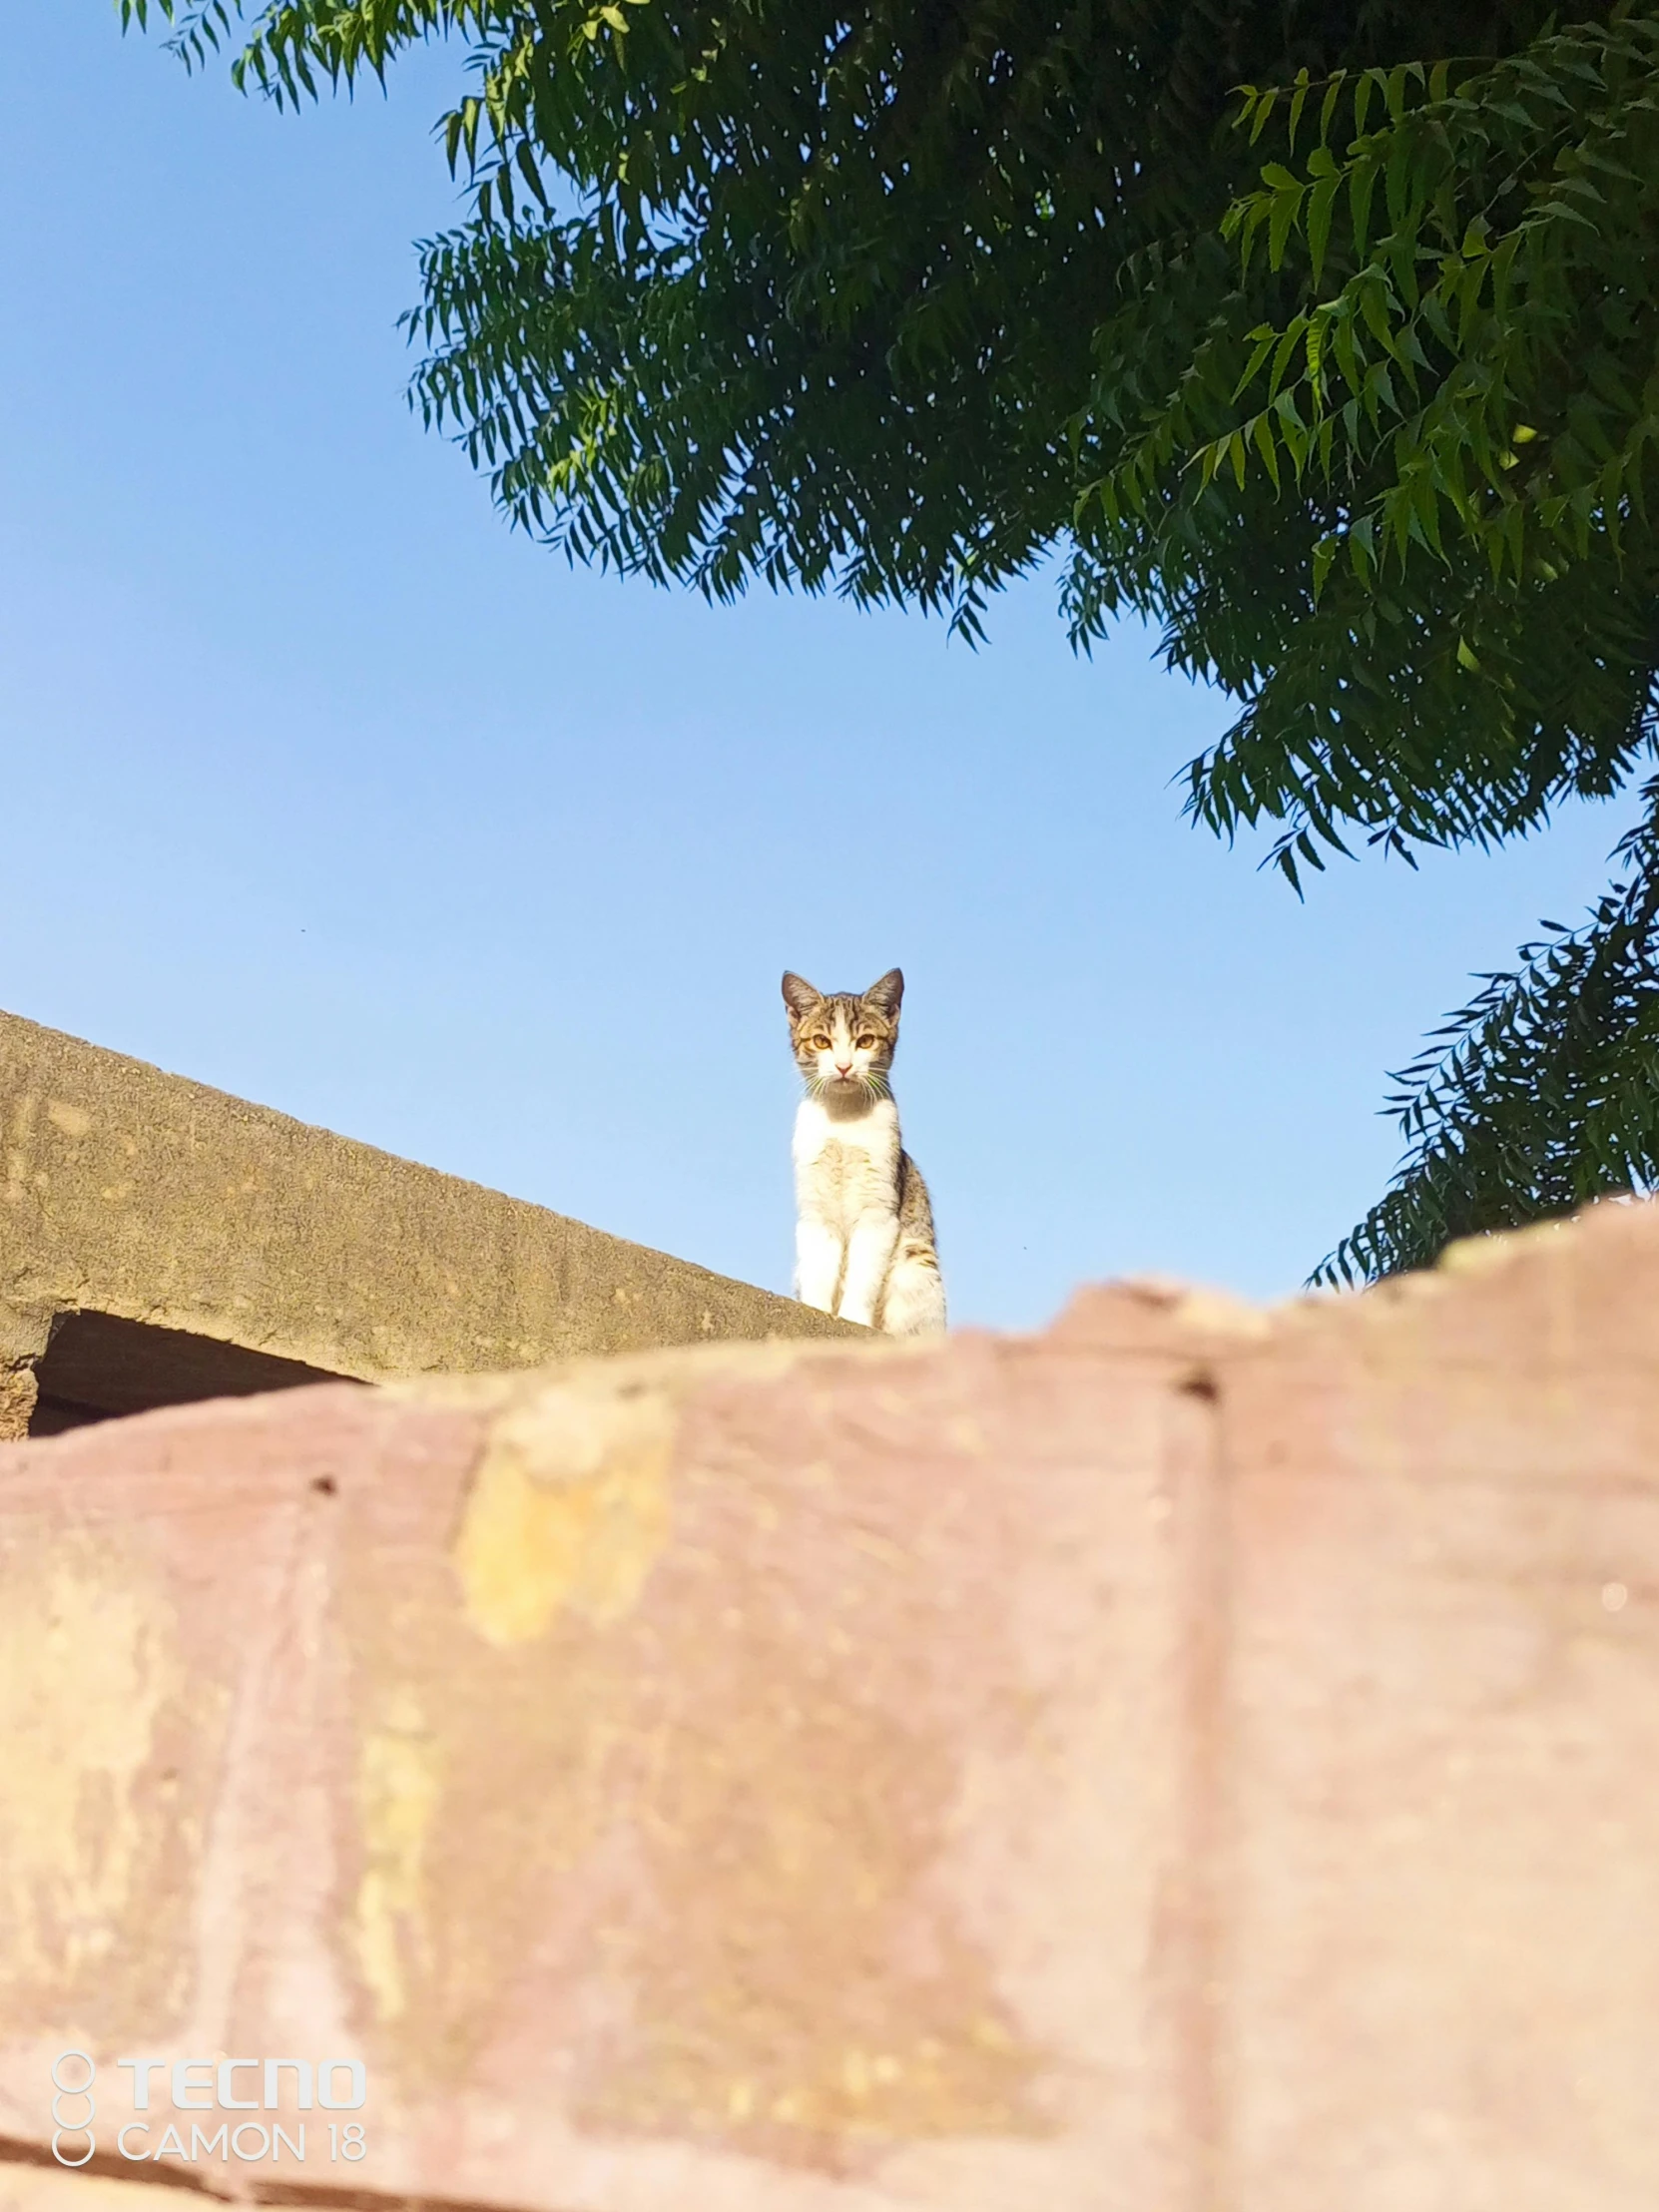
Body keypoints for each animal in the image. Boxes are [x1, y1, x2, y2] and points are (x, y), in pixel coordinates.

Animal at [783, 964, 946, 1327]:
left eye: (865, 1041)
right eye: (821, 1041)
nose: (844, 1066)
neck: (844, 1119)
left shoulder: (879, 1210)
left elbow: (863, 1276)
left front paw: (854, 1319)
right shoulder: (816, 1209)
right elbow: (819, 1270)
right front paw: (815, 1311)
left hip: (918, 1268)